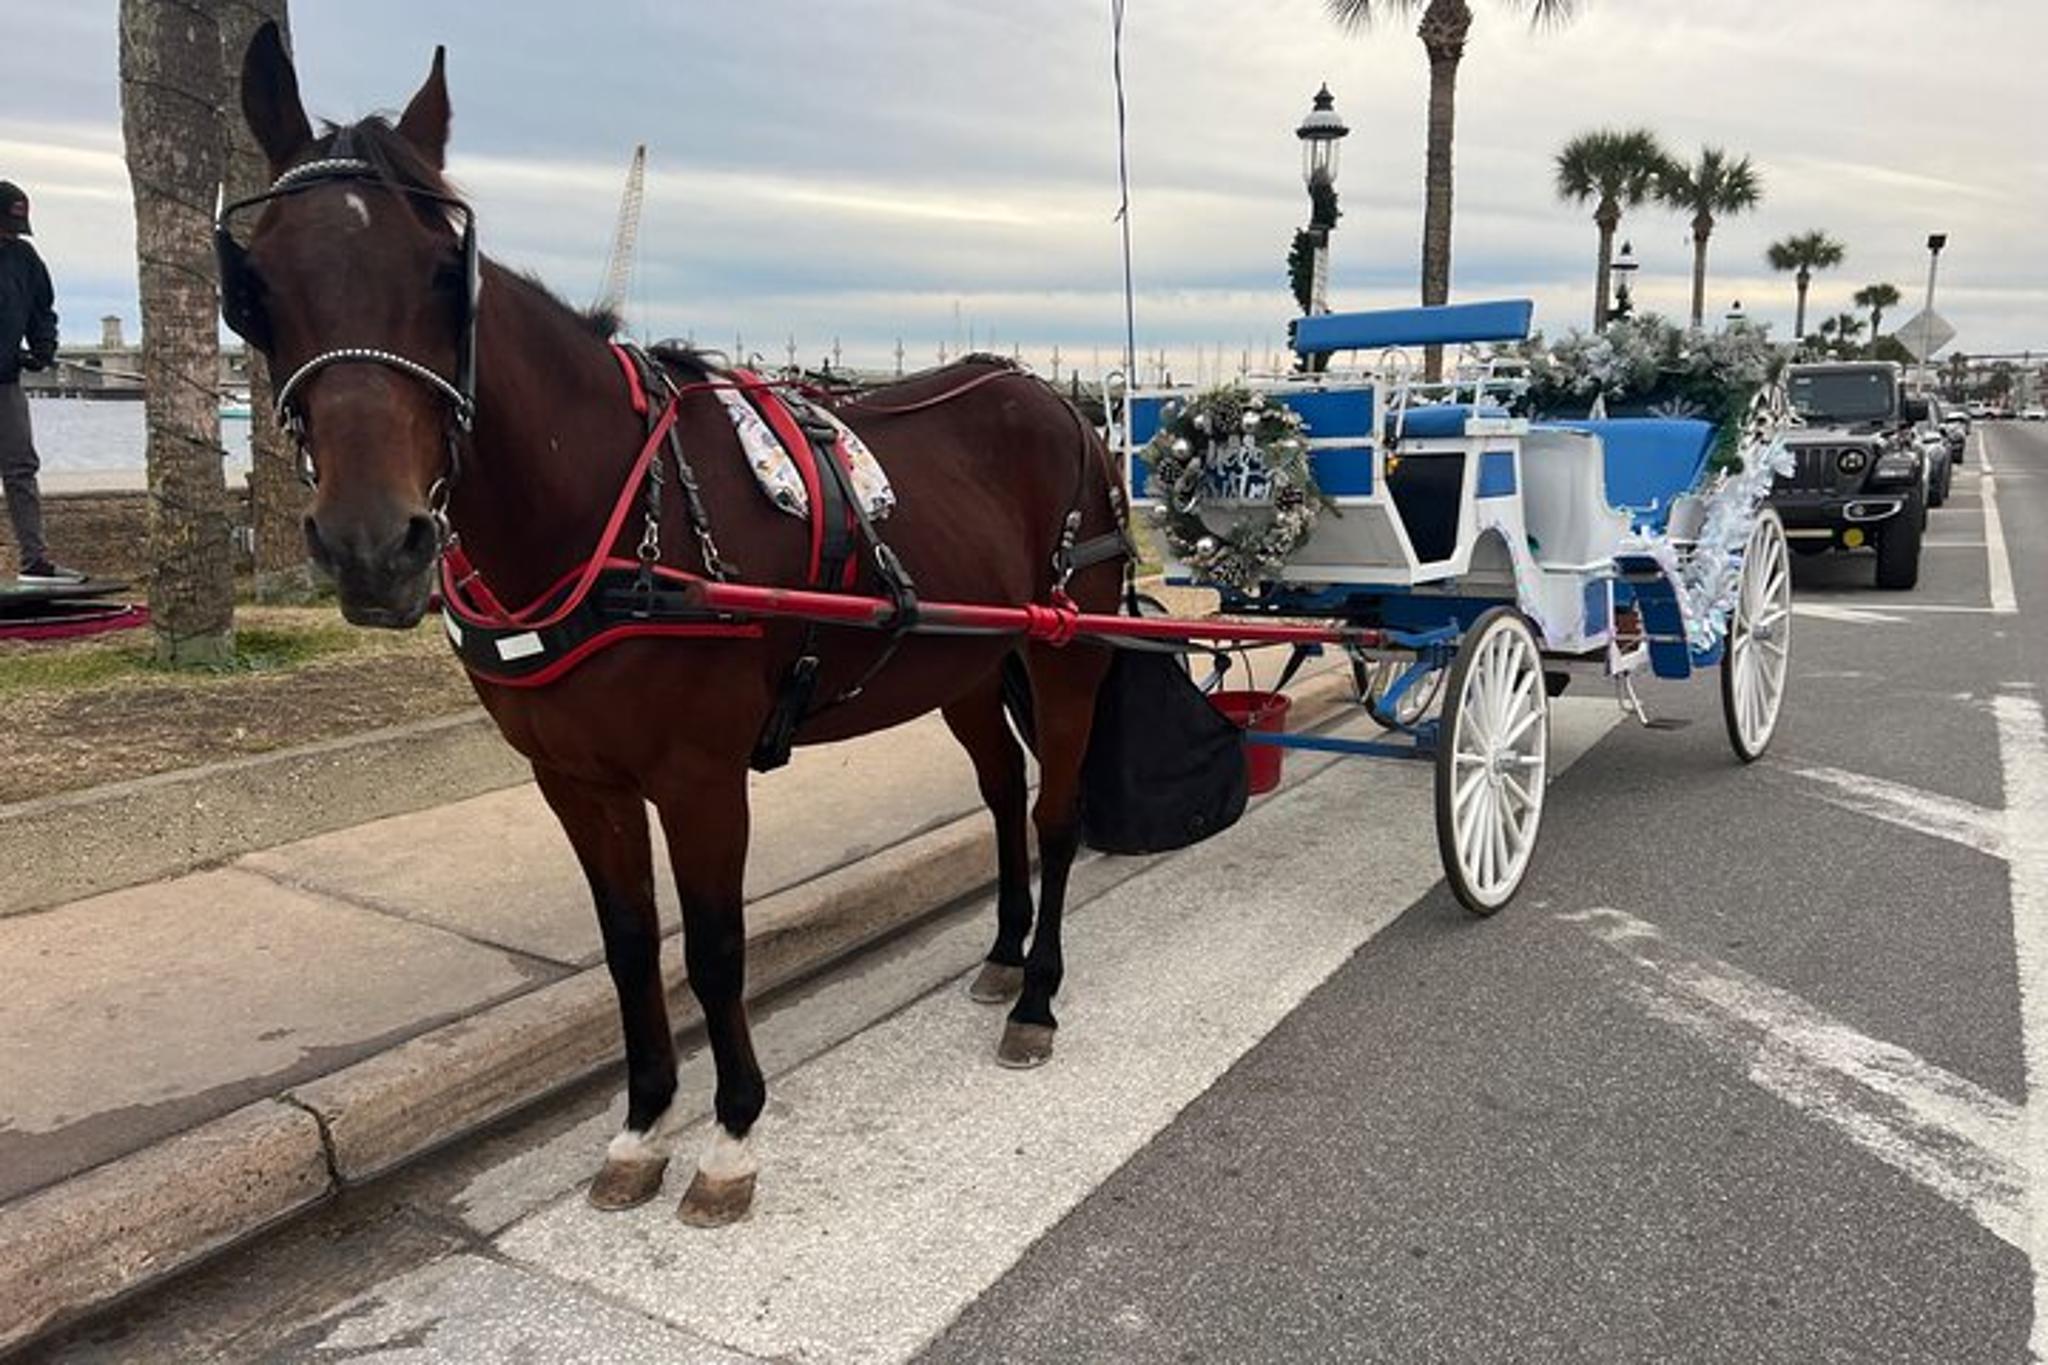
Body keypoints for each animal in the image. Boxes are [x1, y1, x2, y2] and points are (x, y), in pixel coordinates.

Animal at [225, 25, 1126, 1226]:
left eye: (445, 275)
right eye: (258, 285)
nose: (375, 542)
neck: (611, 514)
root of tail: (1056, 398)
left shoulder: (700, 776)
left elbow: (713, 948)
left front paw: (731, 1133)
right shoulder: (576, 779)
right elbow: (626, 945)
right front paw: (643, 1118)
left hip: (1064, 649)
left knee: (1055, 813)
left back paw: (1037, 996)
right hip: (968, 666)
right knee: (1000, 797)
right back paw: (1003, 953)